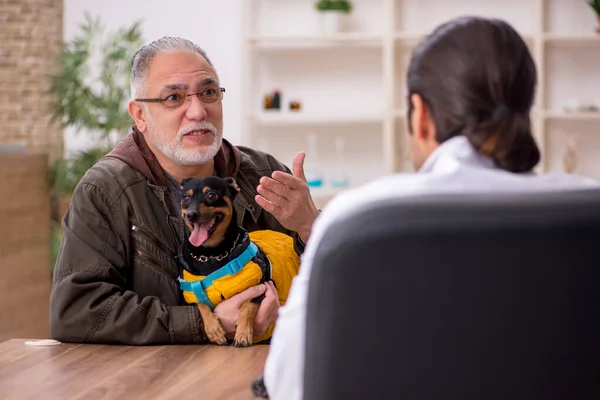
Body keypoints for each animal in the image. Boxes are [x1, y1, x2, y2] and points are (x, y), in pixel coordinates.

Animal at [177, 176, 300, 346]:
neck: (211, 254)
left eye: (211, 195)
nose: (191, 214)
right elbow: (201, 305)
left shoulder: (263, 286)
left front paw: (243, 333)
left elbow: (247, 306)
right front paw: (214, 330)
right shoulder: (189, 297)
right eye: (185, 198)